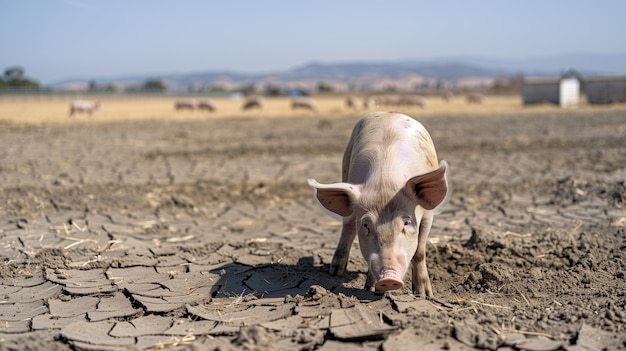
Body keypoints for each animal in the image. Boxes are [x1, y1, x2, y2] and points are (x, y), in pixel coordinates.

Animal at [304, 111, 446, 296]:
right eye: (366, 225)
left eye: (407, 223)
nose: (389, 279)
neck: (385, 183)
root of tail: (389, 112)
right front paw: (370, 289)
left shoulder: (428, 214)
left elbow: (419, 252)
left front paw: (423, 294)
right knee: (348, 227)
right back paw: (335, 271)